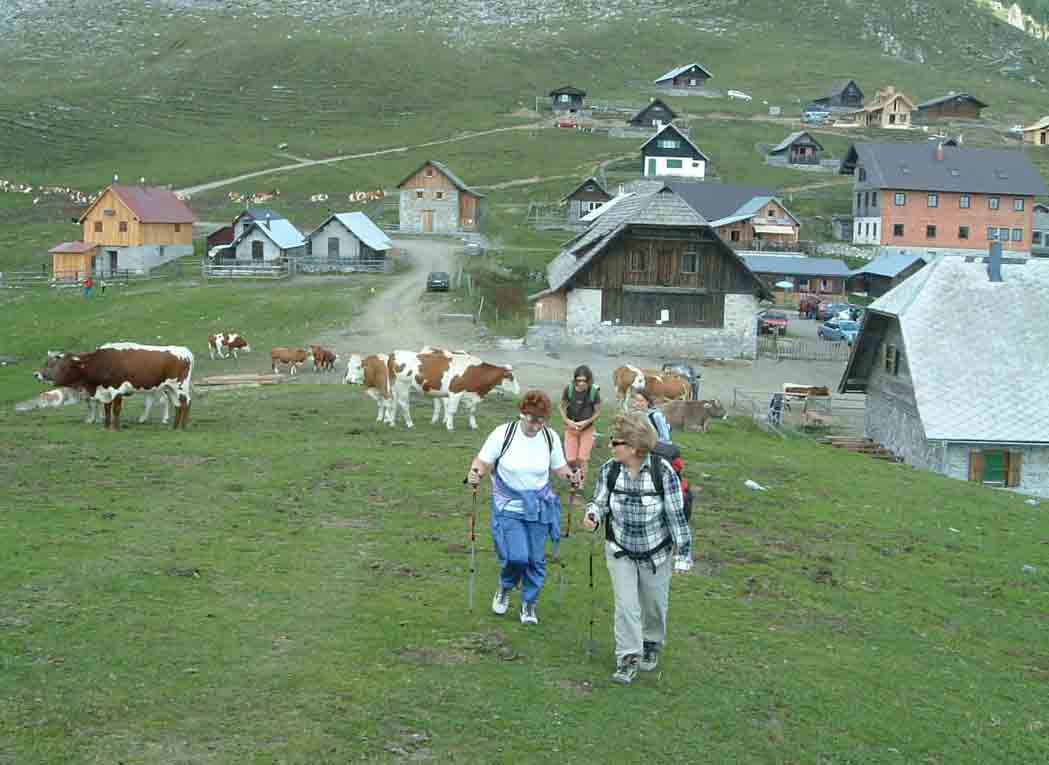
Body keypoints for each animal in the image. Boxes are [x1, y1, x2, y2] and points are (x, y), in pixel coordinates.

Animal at [34, 344, 196, 430]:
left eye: (61, 366)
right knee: (177, 405)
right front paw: (106, 426)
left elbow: (116, 409)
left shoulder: (118, 389)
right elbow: (107, 408)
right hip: (170, 388)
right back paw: (174, 427)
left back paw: (182, 427)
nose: (37, 374)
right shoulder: (104, 391)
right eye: (47, 363)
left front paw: (116, 428)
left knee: (186, 403)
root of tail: (185, 351)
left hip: (181, 386)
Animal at [386, 348, 520, 430]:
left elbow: (472, 411)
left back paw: (392, 422)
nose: (519, 390)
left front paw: (473, 425)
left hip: (394, 387)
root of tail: (395, 353)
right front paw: (450, 426)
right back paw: (410, 423)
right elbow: (452, 411)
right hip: (403, 385)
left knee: (394, 402)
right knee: (403, 404)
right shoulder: (455, 392)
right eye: (511, 377)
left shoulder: (471, 395)